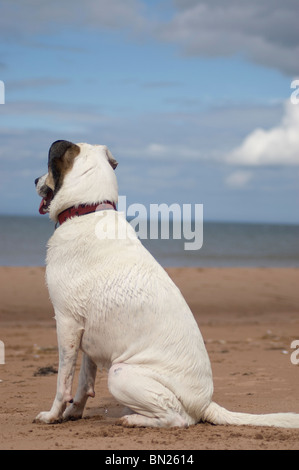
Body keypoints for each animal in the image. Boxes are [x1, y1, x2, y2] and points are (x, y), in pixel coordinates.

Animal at [35, 138, 299, 428]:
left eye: (48, 169)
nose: (35, 180)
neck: (87, 210)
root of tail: (205, 405)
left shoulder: (67, 325)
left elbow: (63, 382)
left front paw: (52, 415)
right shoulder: (87, 336)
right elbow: (84, 382)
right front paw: (73, 413)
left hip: (120, 372)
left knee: (177, 418)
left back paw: (133, 419)